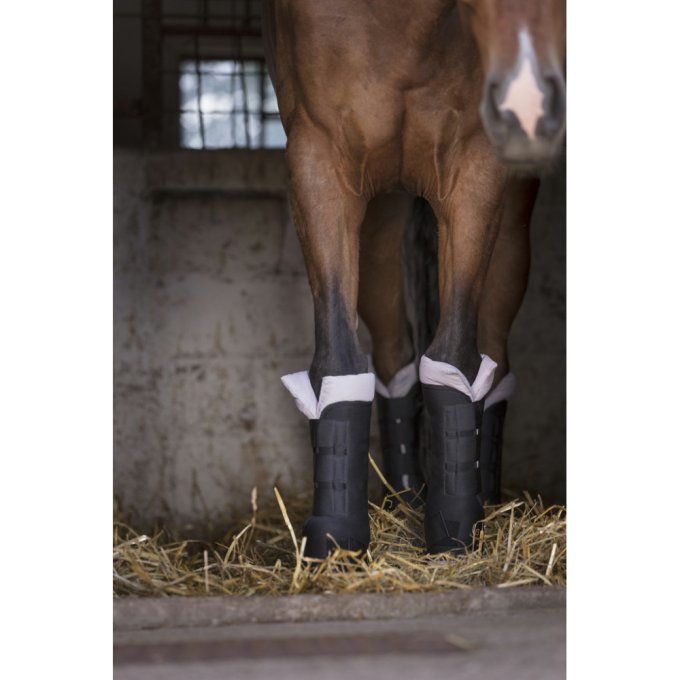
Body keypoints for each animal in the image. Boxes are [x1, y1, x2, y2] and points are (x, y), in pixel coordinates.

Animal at [262, 0, 564, 556]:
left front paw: (454, 525)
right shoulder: (318, 158)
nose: (527, 106)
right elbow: (338, 356)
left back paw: (481, 492)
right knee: (391, 349)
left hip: (511, 221)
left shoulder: (476, 167)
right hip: (382, 212)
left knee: (493, 357)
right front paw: (336, 533)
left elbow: (454, 358)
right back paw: (403, 492)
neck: (401, 19)